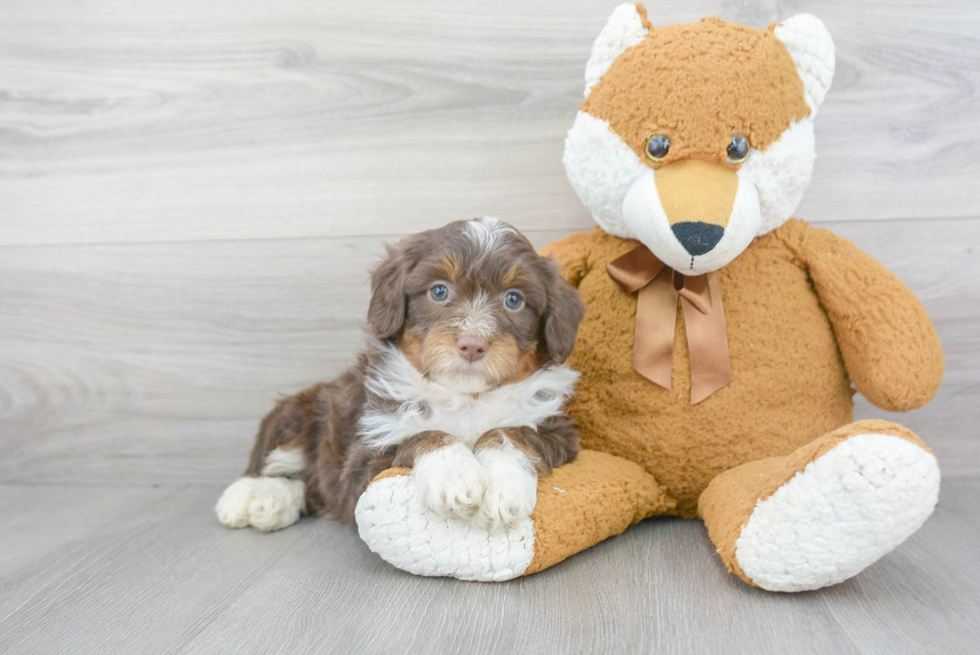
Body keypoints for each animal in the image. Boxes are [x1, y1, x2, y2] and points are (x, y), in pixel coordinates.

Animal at [216, 218, 580, 536]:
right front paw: (455, 475)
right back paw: (250, 498)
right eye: (439, 292)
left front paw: (503, 490)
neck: (465, 399)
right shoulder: (363, 454)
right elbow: (422, 434)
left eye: (514, 299)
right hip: (300, 411)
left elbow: (511, 432)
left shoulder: (557, 430)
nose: (472, 344)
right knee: (278, 463)